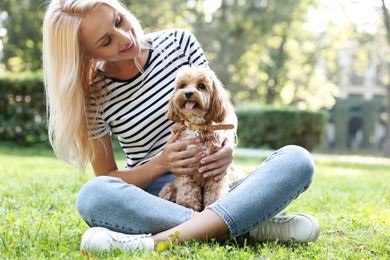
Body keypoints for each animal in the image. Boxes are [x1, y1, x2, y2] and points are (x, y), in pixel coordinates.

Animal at [158, 66, 241, 212]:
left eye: (201, 86)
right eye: (183, 86)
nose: (188, 93)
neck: (195, 125)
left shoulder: (215, 169)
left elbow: (215, 190)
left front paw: (213, 203)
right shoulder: (183, 167)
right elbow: (186, 187)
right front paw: (188, 204)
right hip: (168, 187)